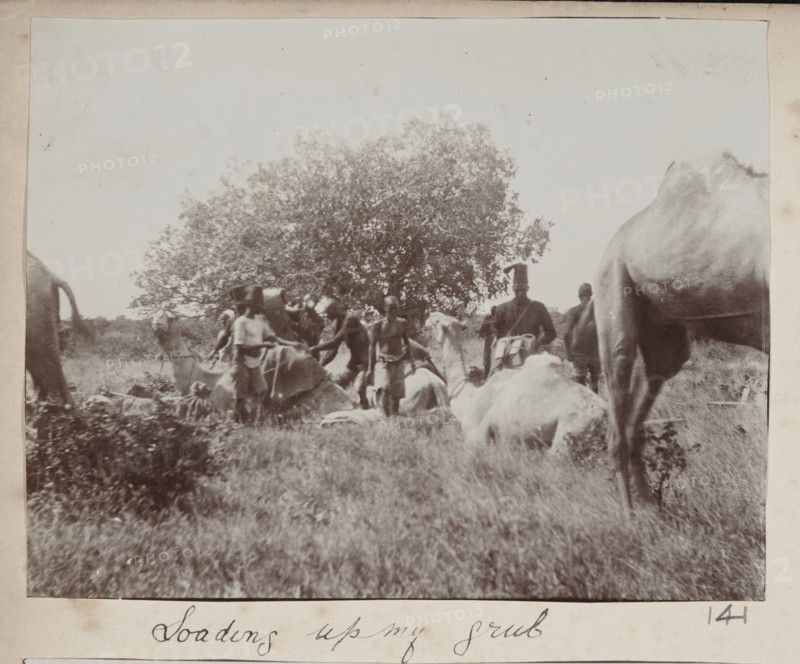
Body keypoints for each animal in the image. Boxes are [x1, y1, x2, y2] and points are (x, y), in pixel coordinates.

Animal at [425, 312, 606, 450]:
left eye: (438, 322)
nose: (430, 315)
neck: (469, 398)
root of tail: (604, 414)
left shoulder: (475, 437)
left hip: (569, 430)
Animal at [586, 151, 768, 514]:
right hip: (612, 281)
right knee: (618, 384)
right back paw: (629, 515)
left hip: (664, 334)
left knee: (641, 405)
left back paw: (650, 508)